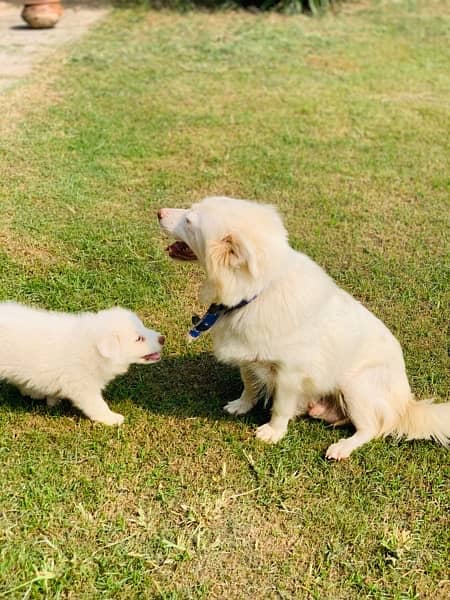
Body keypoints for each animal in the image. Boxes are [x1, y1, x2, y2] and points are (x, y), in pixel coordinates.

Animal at [0, 304, 165, 426]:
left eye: (143, 327)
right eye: (139, 338)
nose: (163, 338)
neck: (93, 348)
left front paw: (43, 397)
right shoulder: (83, 386)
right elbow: (97, 405)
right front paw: (113, 418)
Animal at [158, 197, 450, 460]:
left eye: (189, 221)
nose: (158, 211)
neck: (256, 293)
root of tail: (406, 403)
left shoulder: (290, 372)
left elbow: (280, 406)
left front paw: (273, 433)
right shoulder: (247, 358)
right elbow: (249, 386)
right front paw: (241, 405)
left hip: (355, 384)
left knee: (371, 429)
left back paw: (342, 448)